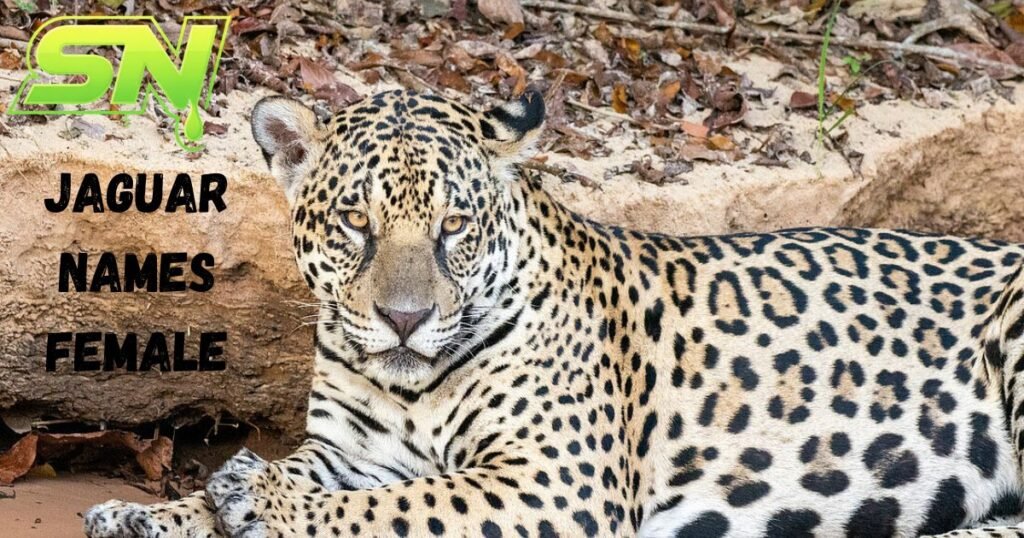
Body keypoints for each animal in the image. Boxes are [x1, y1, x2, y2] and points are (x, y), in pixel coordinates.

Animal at [83, 88, 1024, 537]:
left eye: (453, 226)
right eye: (355, 221)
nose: (403, 320)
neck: (411, 389)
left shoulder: (548, 480)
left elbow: (401, 508)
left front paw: (258, 496)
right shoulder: (353, 452)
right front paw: (148, 515)